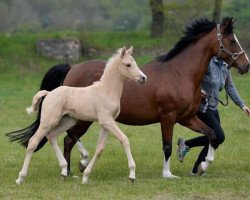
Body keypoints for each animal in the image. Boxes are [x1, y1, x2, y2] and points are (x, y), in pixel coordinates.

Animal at [9, 47, 146, 184]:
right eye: (128, 64)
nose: (143, 78)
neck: (106, 91)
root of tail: (48, 93)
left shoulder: (106, 123)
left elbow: (100, 148)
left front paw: (85, 176)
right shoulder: (107, 121)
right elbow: (124, 139)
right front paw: (132, 175)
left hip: (67, 121)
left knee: (51, 136)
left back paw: (64, 171)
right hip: (49, 121)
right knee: (33, 142)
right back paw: (20, 178)